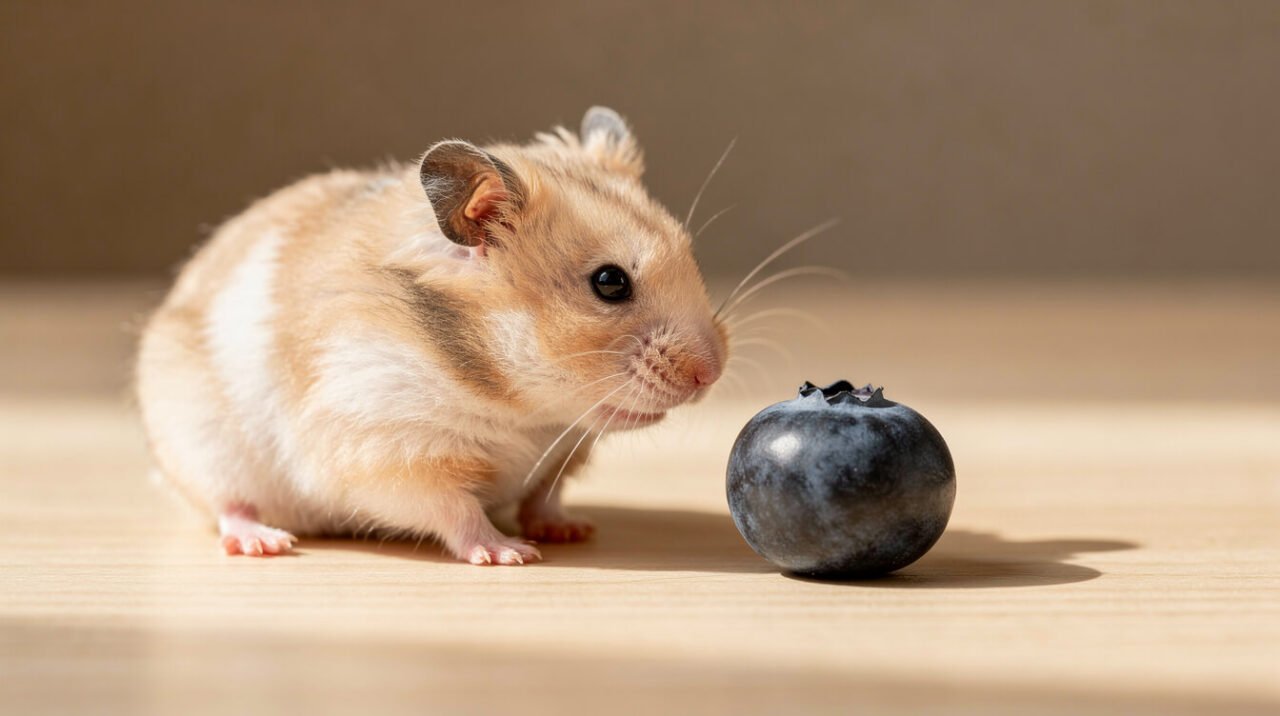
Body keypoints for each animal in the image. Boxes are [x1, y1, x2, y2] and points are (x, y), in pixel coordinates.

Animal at [135, 107, 728, 565]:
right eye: (609, 282)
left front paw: (569, 529)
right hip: (201, 443)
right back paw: (264, 543)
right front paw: (511, 553)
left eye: (691, 257)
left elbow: (545, 493)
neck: (518, 405)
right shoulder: (392, 449)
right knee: (226, 504)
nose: (712, 375)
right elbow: (454, 507)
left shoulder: (561, 450)